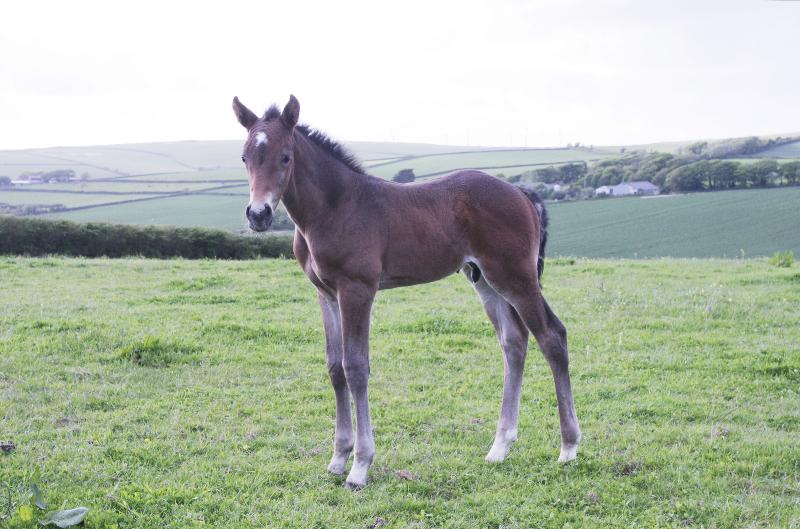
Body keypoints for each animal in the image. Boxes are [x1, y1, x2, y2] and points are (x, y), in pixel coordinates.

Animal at [233, 94, 580, 486]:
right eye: (245, 157)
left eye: (286, 156)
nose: (258, 214)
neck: (335, 207)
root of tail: (521, 192)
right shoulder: (326, 294)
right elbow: (335, 369)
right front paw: (337, 458)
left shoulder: (357, 289)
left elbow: (356, 368)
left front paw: (360, 466)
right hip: (485, 279)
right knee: (514, 341)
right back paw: (499, 447)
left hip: (516, 276)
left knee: (551, 336)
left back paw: (568, 447)